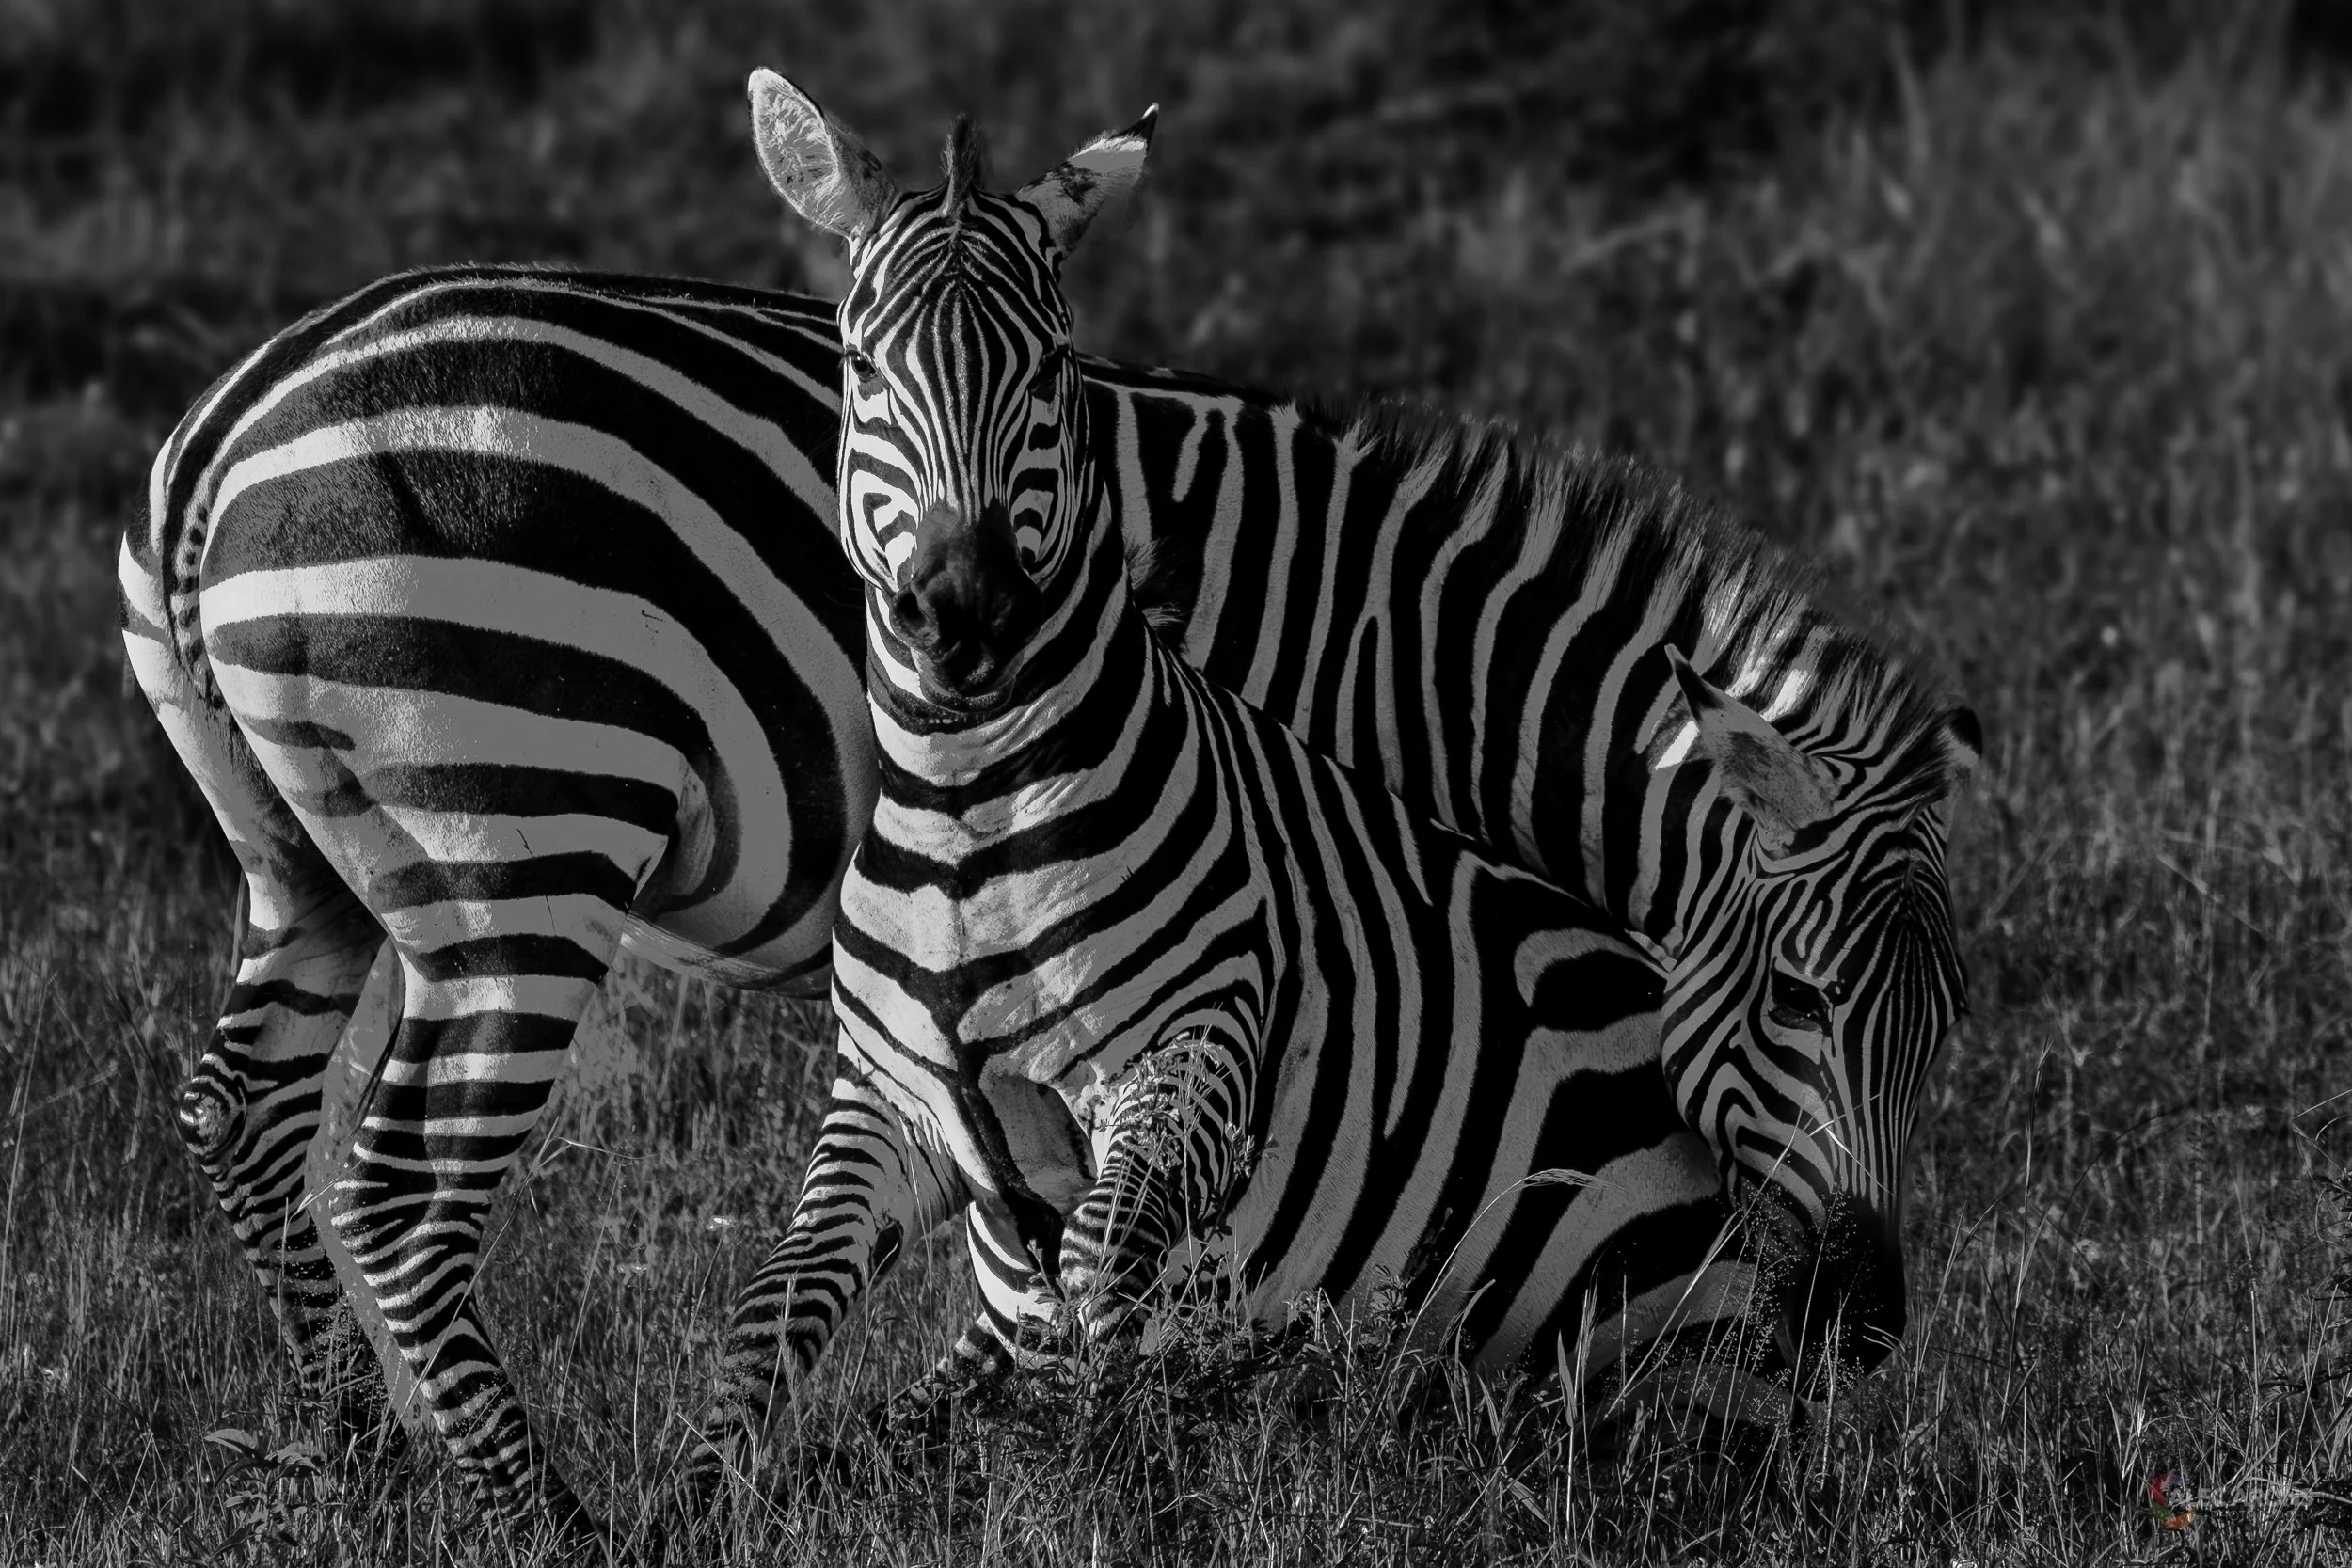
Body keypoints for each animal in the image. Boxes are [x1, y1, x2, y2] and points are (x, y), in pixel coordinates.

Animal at [692, 73, 1772, 1492]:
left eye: (1053, 369)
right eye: (864, 368)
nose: (962, 612)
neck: (968, 809)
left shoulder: (1198, 1048)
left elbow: (1096, 1269)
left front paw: (1090, 1469)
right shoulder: (888, 1095)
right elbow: (777, 1295)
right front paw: (698, 1493)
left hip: (1634, 1314)